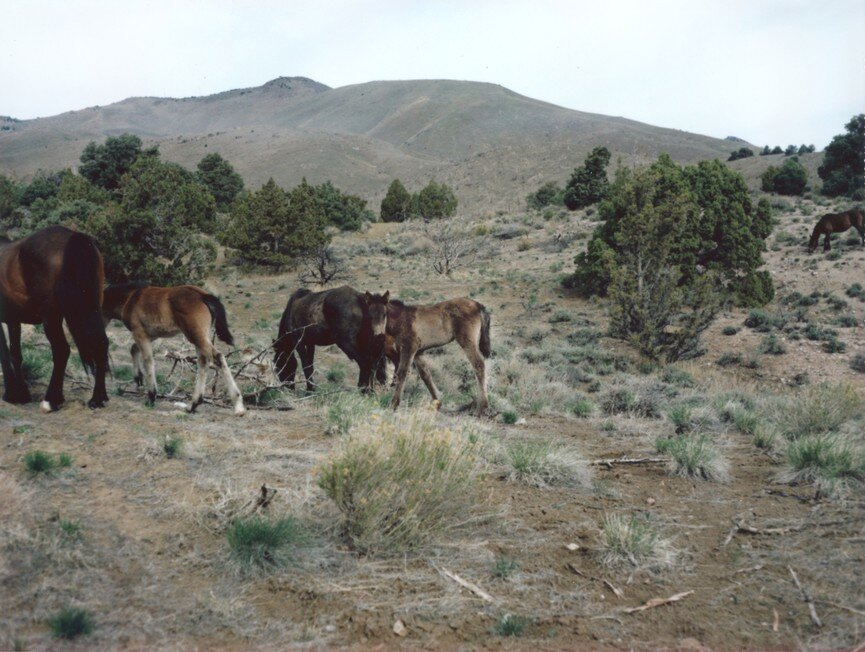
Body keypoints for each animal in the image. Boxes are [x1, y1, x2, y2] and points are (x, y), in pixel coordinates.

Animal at [0, 227, 109, 410]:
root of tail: (72, 237)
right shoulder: (13, 319)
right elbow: (15, 354)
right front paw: (21, 394)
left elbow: (5, 354)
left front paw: (11, 393)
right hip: (92, 309)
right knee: (101, 344)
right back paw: (98, 398)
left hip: (52, 318)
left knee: (61, 350)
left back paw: (51, 400)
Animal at [106, 282, 246, 416]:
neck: (130, 298)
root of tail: (202, 295)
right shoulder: (151, 335)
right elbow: (134, 349)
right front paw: (138, 379)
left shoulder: (139, 333)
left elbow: (148, 360)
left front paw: (151, 396)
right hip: (200, 336)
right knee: (203, 362)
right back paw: (193, 404)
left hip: (195, 335)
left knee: (217, 357)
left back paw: (238, 406)